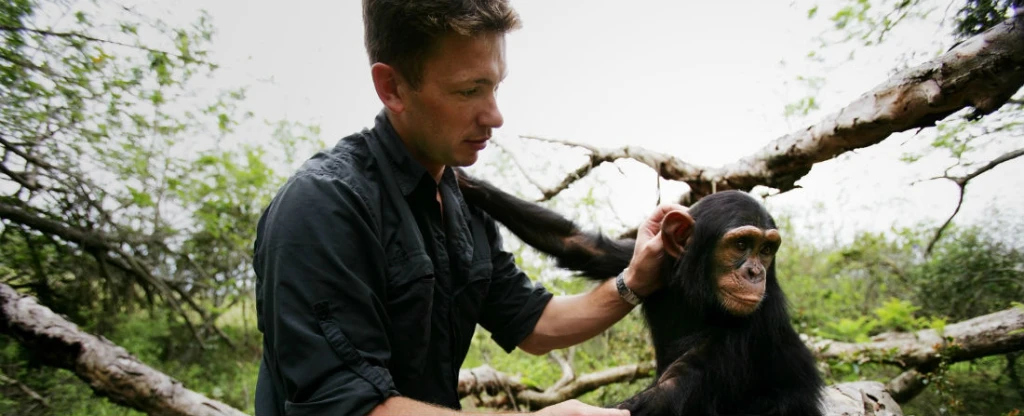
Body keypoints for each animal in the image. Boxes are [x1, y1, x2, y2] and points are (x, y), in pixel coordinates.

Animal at [456, 169, 823, 416]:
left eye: (766, 250)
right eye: (742, 244)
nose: (755, 272)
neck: (697, 293)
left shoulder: (750, 325)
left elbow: (666, 393)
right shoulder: (650, 261)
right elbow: (578, 244)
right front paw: (468, 183)